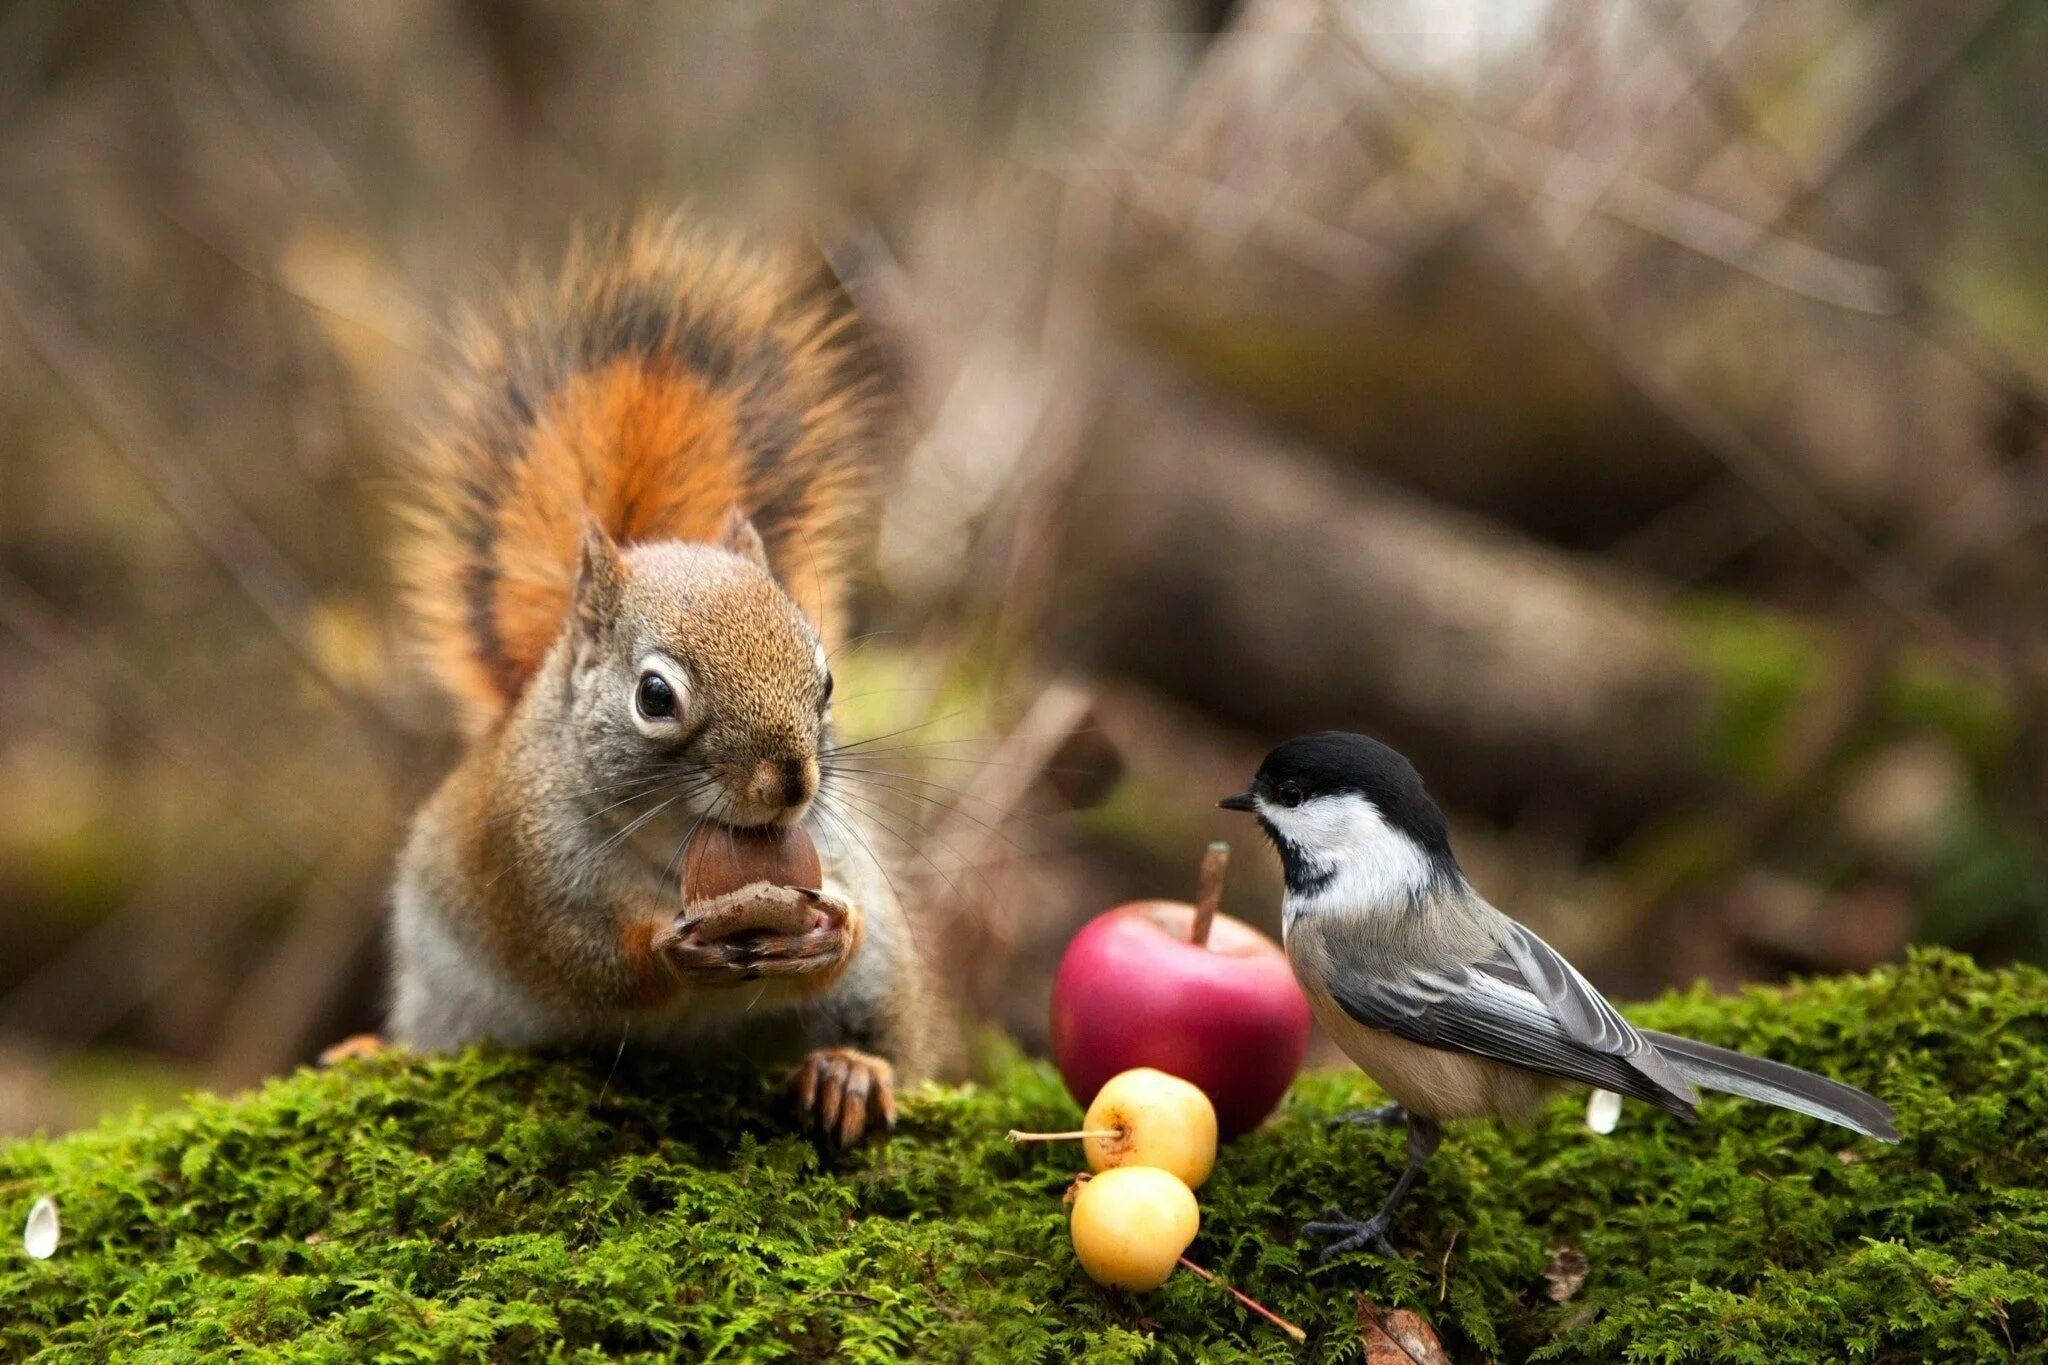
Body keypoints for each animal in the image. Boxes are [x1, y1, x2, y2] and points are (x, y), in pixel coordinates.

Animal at [380, 222, 933, 1146]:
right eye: (655, 697)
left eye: (824, 680)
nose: (790, 784)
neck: (680, 851)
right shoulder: (523, 869)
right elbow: (591, 966)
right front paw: (673, 949)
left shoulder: (839, 852)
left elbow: (843, 941)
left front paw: (831, 933)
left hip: (885, 981)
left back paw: (849, 1070)